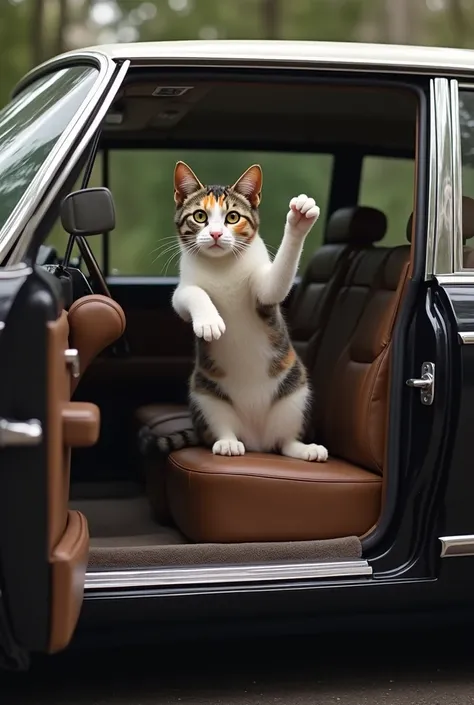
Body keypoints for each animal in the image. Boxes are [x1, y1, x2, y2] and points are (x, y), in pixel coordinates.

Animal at [161, 161, 328, 462]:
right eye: (200, 216)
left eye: (232, 217)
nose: (216, 234)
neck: (222, 266)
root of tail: (256, 441)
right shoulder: (182, 293)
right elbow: (192, 293)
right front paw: (209, 322)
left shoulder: (264, 292)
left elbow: (275, 284)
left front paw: (299, 218)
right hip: (206, 395)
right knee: (222, 425)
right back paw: (228, 442)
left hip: (295, 393)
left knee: (285, 441)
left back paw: (305, 449)